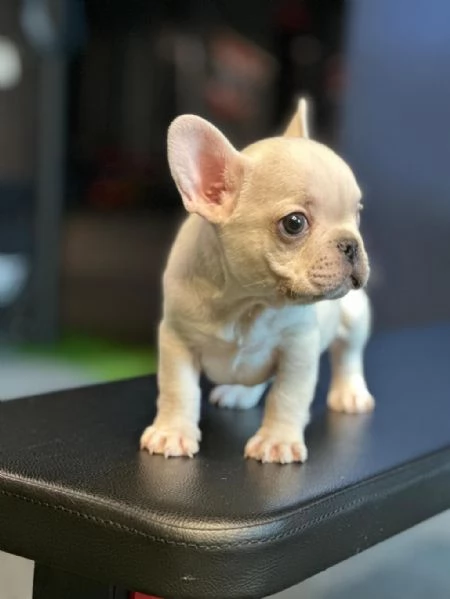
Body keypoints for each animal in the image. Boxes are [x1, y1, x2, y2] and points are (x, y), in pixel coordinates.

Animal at [140, 99, 372, 464]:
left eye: (357, 213)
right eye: (294, 223)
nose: (351, 244)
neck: (247, 303)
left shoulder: (298, 349)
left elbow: (287, 396)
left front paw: (277, 441)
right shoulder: (178, 338)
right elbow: (178, 390)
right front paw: (172, 432)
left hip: (355, 315)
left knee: (348, 354)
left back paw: (350, 393)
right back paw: (239, 393)